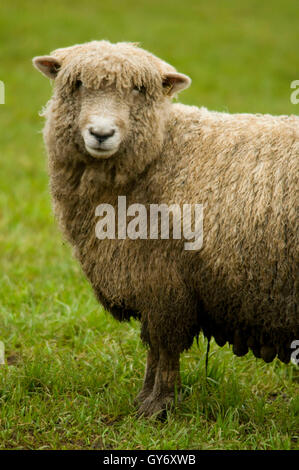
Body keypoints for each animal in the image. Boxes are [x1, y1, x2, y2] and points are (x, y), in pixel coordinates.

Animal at [31, 39, 298, 414]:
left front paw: (158, 406)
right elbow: (154, 350)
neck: (163, 151)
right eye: (77, 84)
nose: (101, 134)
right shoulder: (151, 284)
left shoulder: (165, 283)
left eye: (139, 89)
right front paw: (144, 398)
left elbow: (165, 348)